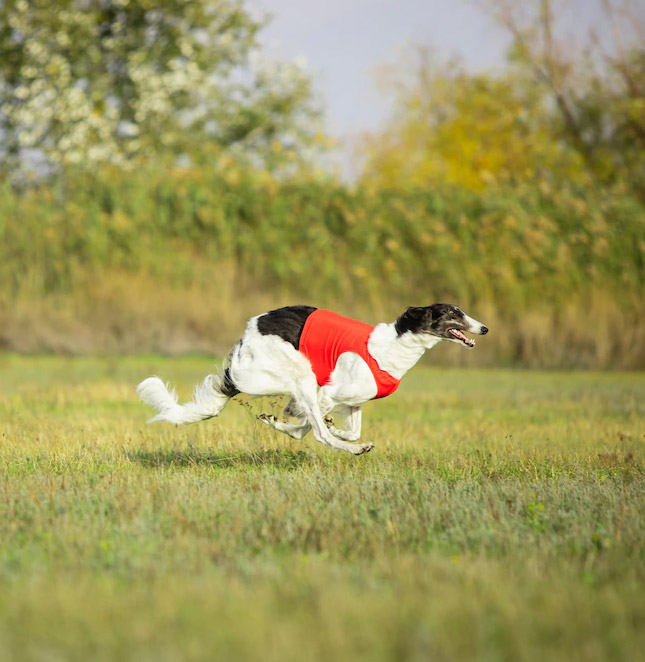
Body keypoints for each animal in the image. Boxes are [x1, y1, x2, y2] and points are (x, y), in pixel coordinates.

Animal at [137, 306, 488, 456]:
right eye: (453, 313)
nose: (484, 328)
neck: (392, 347)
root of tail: (248, 333)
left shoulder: (353, 400)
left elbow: (342, 426)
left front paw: (335, 428)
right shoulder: (330, 391)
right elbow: (313, 426)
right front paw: (337, 435)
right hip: (297, 372)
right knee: (315, 431)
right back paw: (355, 450)